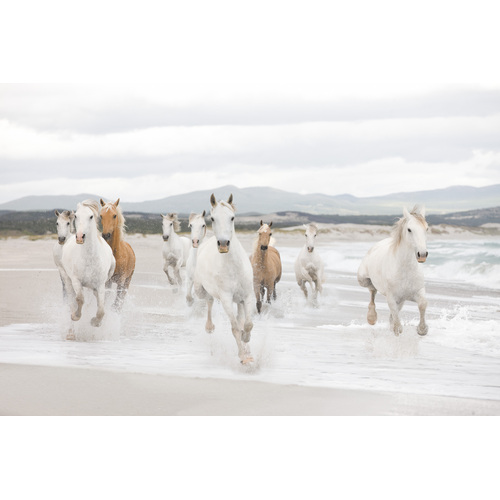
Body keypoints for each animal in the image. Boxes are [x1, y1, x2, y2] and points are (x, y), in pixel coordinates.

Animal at [61, 201, 115, 330]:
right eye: (76, 216)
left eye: (91, 216)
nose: (80, 237)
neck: (89, 258)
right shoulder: (76, 281)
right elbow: (80, 299)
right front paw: (75, 316)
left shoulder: (100, 285)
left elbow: (101, 310)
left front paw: (95, 322)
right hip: (67, 278)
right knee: (71, 297)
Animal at [194, 194, 256, 364]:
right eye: (212, 218)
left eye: (232, 217)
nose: (223, 244)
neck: (234, 267)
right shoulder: (226, 298)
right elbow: (235, 328)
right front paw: (243, 357)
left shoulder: (248, 296)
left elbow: (247, 324)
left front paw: (247, 342)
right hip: (201, 290)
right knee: (209, 300)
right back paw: (209, 327)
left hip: (239, 300)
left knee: (241, 318)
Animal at [358, 205, 428, 338]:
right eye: (409, 229)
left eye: (426, 229)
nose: (422, 255)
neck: (405, 270)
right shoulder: (391, 296)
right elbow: (394, 314)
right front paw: (397, 329)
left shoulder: (417, 292)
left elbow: (422, 304)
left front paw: (422, 329)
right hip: (362, 280)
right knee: (372, 290)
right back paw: (372, 317)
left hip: (401, 300)